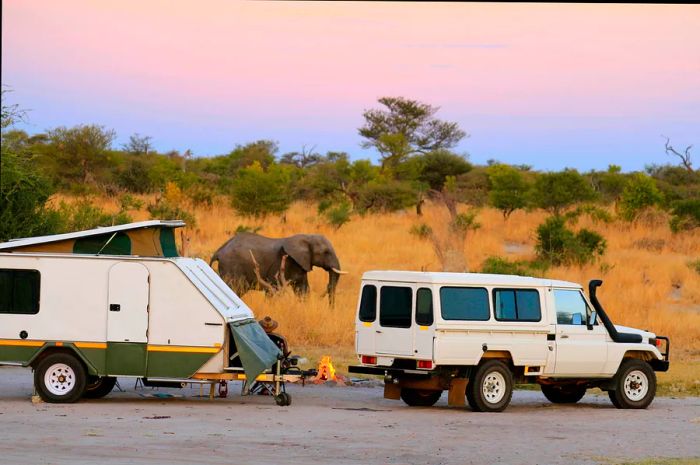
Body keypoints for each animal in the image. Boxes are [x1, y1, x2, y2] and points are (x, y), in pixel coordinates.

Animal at [211, 232, 348, 304]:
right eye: (326, 252)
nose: (331, 310)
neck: (306, 237)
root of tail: (219, 251)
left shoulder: (300, 264)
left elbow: (303, 289)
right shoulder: (280, 264)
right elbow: (274, 288)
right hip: (231, 268)